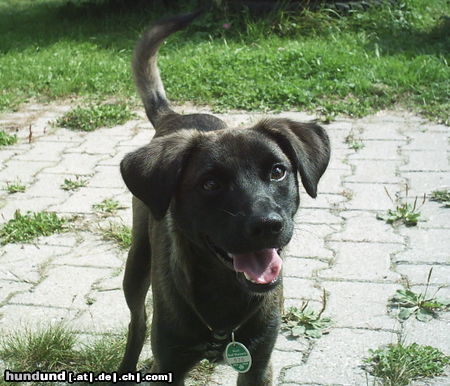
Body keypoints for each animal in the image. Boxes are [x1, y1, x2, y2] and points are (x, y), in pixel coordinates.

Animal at [119, 10, 330, 384]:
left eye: (278, 171)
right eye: (210, 184)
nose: (267, 225)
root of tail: (175, 116)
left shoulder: (258, 364)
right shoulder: (171, 362)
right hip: (137, 261)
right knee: (137, 322)